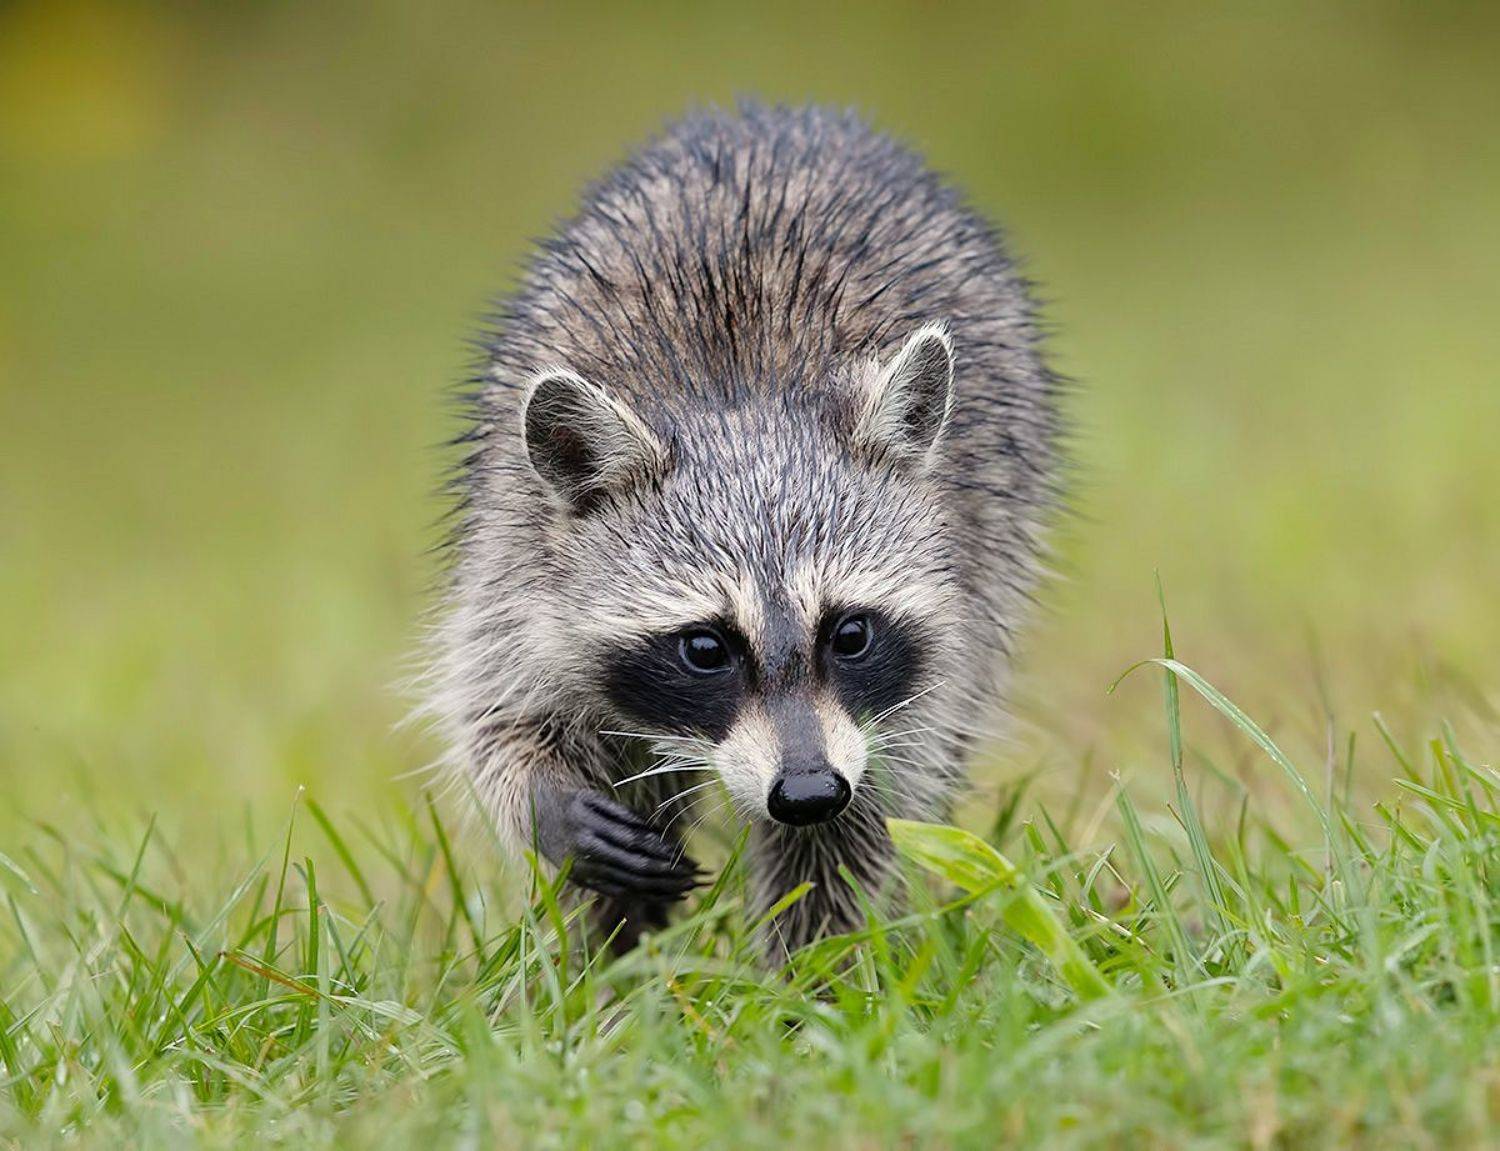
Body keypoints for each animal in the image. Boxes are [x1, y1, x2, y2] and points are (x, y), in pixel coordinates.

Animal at [430, 102, 1060, 958]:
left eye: (850, 633)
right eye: (704, 647)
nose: (807, 789)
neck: (742, 402)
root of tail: (787, 115)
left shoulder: (952, 600)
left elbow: (861, 822)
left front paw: (816, 970)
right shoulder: (518, 544)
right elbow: (500, 712)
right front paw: (547, 804)